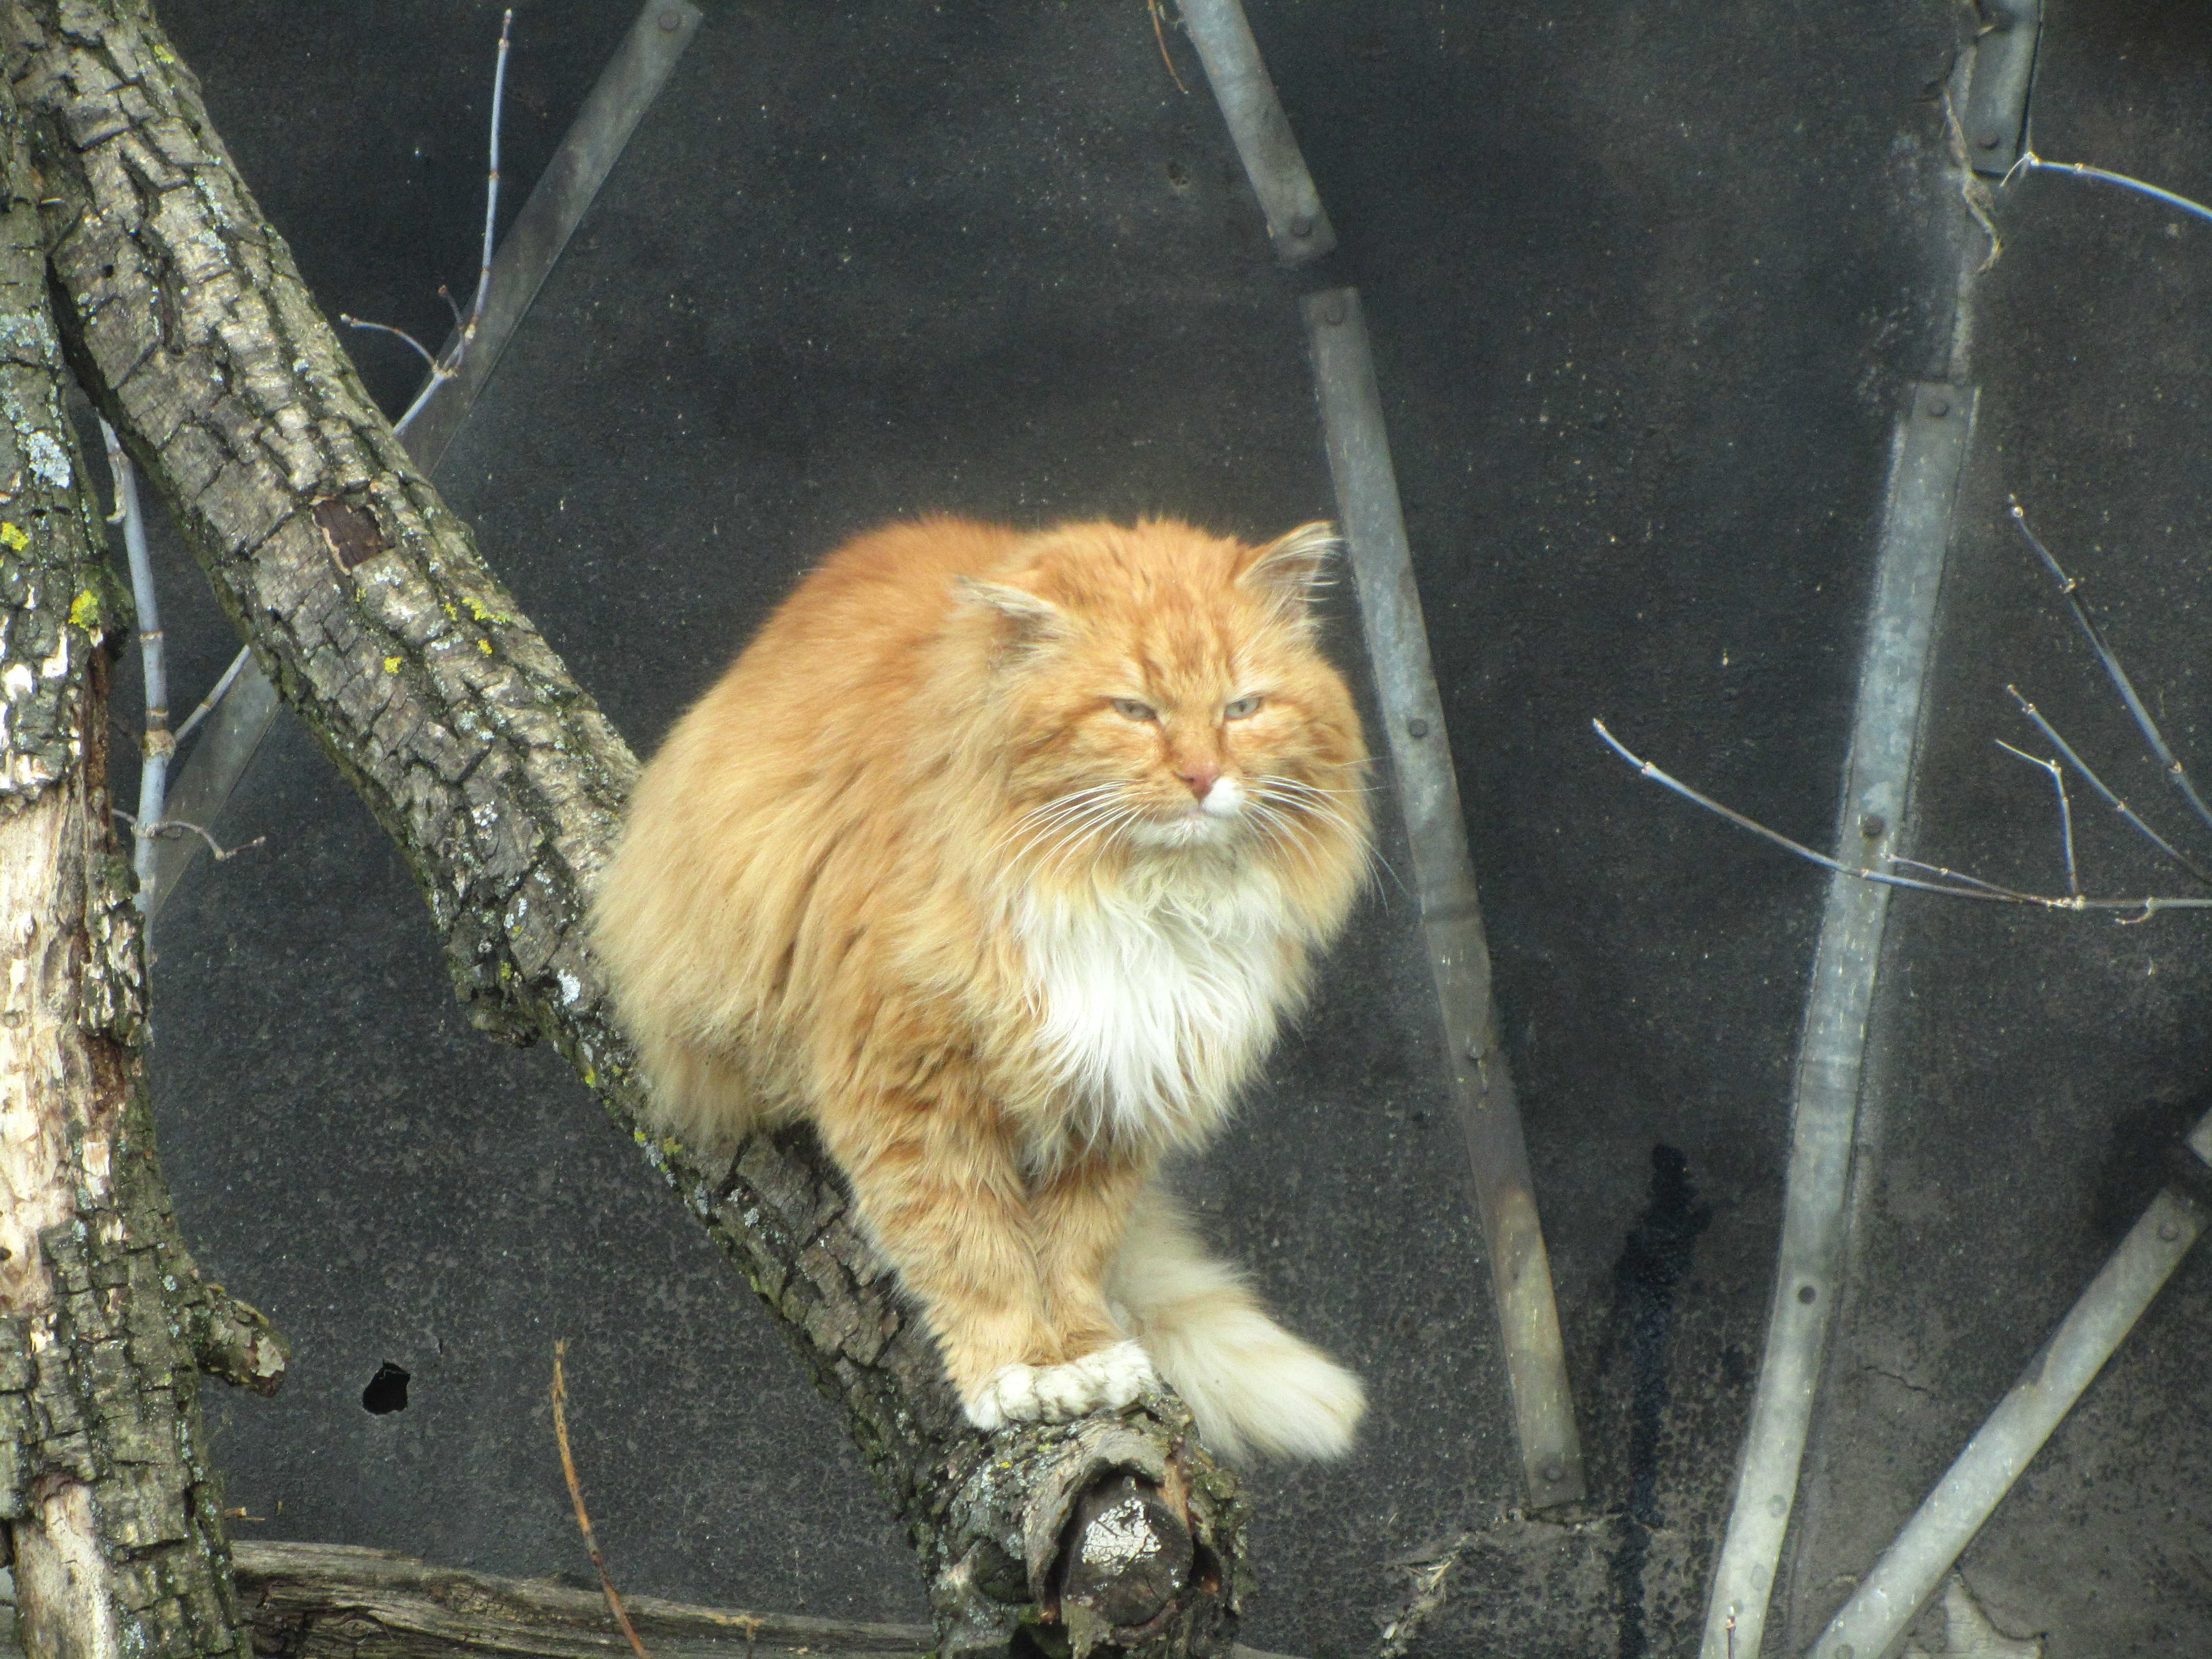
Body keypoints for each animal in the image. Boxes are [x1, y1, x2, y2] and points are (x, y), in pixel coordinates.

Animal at [597, 513, 1371, 1460]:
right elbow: (971, 1247)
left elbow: (1075, 1252)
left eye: (1242, 708)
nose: (1201, 778)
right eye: (1134, 710)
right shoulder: (912, 1085)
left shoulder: (1117, 1092)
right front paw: (1021, 1368)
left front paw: (1083, 1350)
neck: (1136, 900)